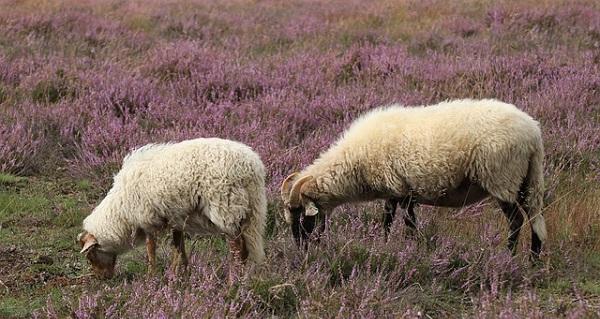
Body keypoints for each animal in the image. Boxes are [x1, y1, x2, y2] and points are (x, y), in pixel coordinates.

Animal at [78, 139, 266, 278]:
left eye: (90, 256)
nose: (102, 279)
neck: (121, 211)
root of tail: (252, 167)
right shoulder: (176, 218)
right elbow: (179, 247)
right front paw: (183, 273)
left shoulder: (147, 218)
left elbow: (151, 249)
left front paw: (152, 276)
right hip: (249, 212)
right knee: (246, 247)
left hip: (226, 208)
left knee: (237, 248)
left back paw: (233, 279)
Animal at [282, 99, 548, 260]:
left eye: (301, 216)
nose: (301, 251)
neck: (355, 163)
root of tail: (533, 133)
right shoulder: (396, 190)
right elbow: (391, 221)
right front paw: (390, 246)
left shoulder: (401, 189)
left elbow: (403, 223)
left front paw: (405, 249)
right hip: (527, 180)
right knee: (535, 218)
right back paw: (533, 260)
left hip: (502, 178)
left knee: (516, 220)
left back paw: (508, 256)